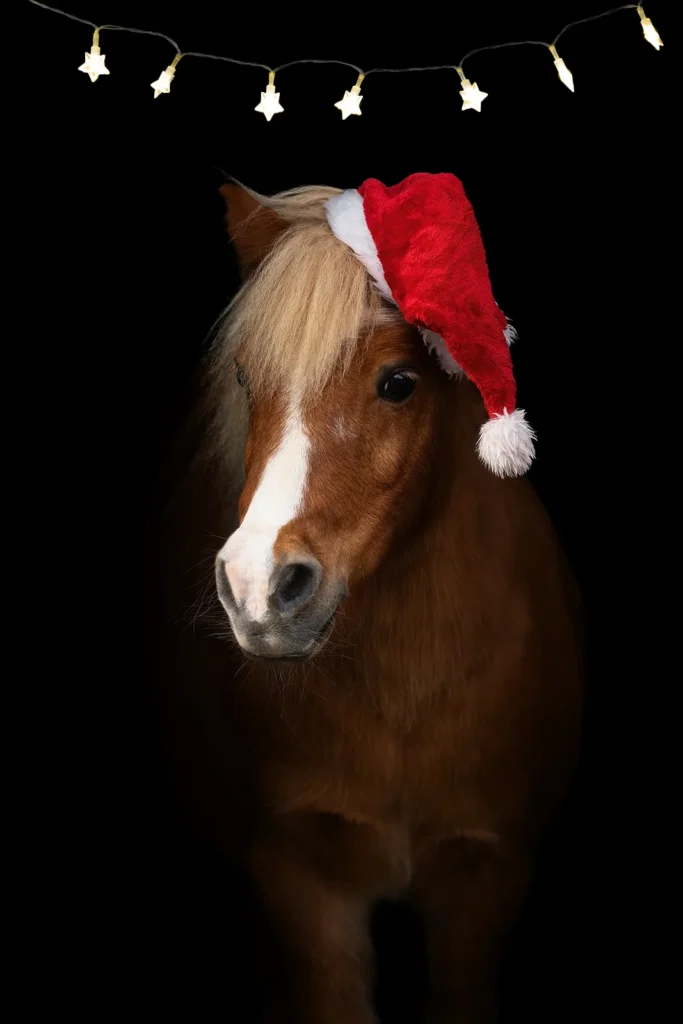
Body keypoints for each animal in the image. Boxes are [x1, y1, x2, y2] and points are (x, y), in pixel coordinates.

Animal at [149, 180, 582, 1023]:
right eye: (245, 378)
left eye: (397, 383)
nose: (256, 587)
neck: (405, 694)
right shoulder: (301, 886)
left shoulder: (484, 879)